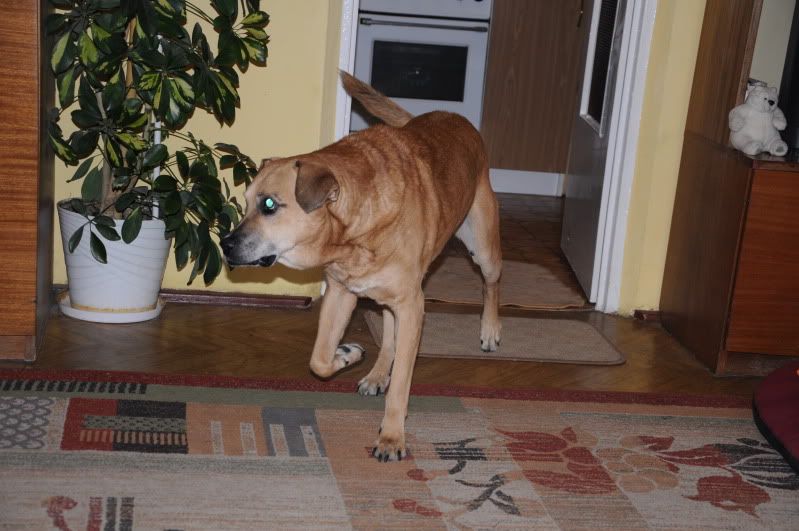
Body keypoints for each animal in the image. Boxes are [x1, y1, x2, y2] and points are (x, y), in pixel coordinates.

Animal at [221, 72, 502, 461]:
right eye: (246, 202)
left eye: (269, 205)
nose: (225, 244)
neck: (350, 234)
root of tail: (458, 119)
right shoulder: (342, 293)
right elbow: (320, 359)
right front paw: (347, 353)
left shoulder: (413, 305)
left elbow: (402, 385)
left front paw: (392, 437)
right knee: (389, 331)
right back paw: (378, 373)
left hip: (482, 246)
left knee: (491, 284)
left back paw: (490, 330)